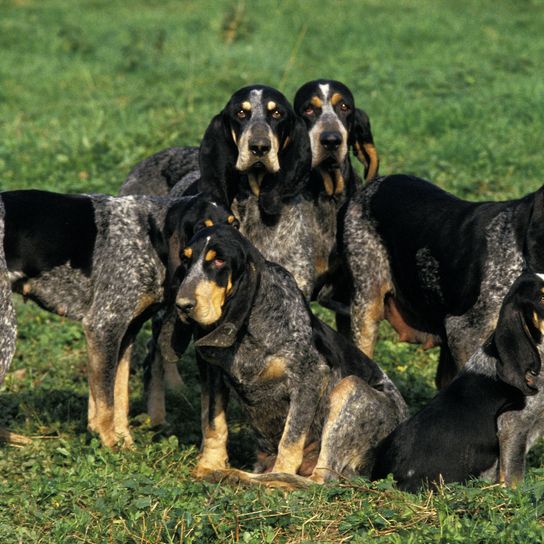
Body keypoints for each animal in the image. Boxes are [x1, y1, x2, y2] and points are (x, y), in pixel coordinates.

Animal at [0, 190, 232, 446]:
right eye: (202, 226)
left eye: (233, 223)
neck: (150, 235)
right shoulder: (104, 326)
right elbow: (106, 400)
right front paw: (110, 442)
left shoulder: (127, 332)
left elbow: (119, 394)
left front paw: (123, 440)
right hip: (7, 331)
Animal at [174, 223, 408, 486]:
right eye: (185, 259)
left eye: (219, 261)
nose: (182, 305)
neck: (251, 329)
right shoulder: (211, 373)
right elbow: (214, 424)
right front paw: (208, 465)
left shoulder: (309, 378)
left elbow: (291, 437)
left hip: (351, 387)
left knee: (318, 480)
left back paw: (243, 476)